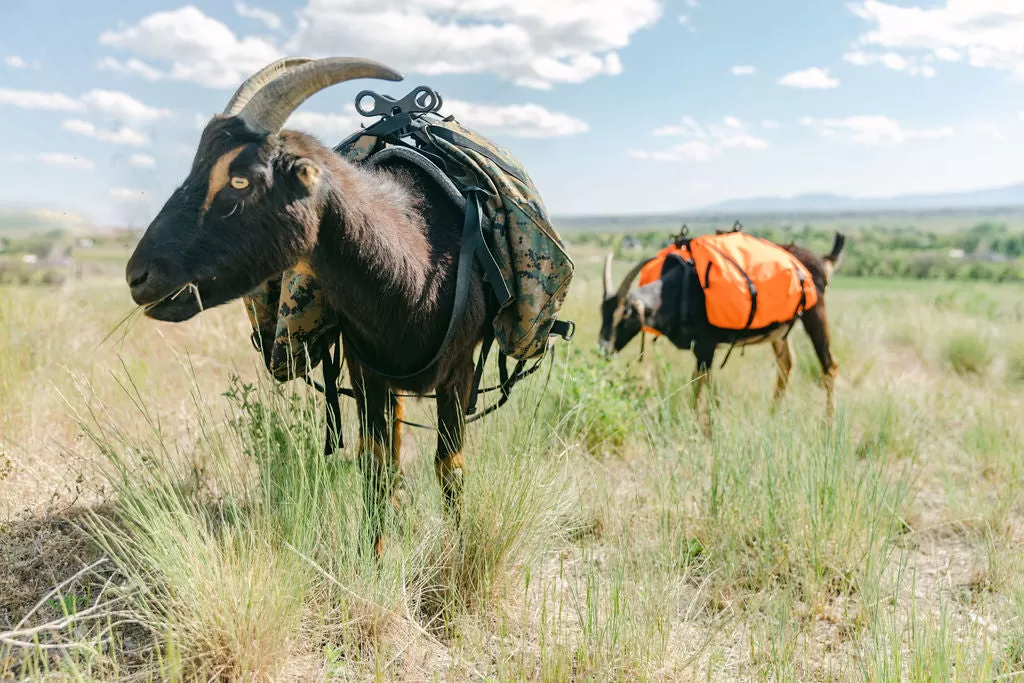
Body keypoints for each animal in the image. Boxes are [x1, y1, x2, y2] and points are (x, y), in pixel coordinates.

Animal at [125, 54, 493, 557]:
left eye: (239, 179)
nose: (138, 277)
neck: (418, 264)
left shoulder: (459, 369)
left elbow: (449, 467)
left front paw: (455, 557)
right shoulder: (365, 369)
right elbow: (374, 464)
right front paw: (373, 559)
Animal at [598, 232, 843, 430]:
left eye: (626, 315)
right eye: (603, 312)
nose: (604, 348)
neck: (677, 290)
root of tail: (823, 260)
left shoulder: (706, 345)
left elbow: (698, 383)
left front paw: (696, 426)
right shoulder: (703, 349)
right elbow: (705, 382)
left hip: (815, 313)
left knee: (829, 366)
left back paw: (829, 426)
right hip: (780, 330)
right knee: (787, 364)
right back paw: (773, 416)